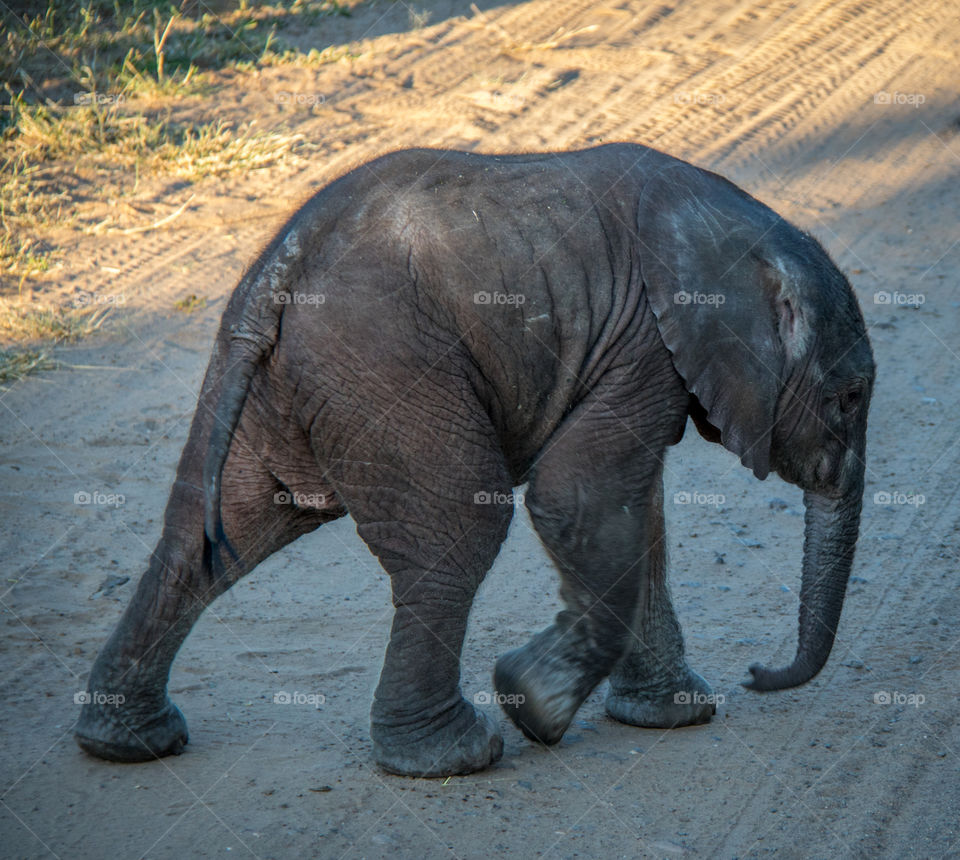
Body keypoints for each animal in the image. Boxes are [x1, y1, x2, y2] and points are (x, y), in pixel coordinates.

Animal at [74, 143, 875, 777]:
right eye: (848, 398)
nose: (759, 673)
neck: (740, 229)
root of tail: (282, 263)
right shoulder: (645, 340)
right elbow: (578, 496)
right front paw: (533, 706)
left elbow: (634, 514)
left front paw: (670, 716)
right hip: (386, 370)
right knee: (460, 530)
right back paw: (452, 757)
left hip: (282, 384)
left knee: (216, 533)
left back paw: (125, 743)